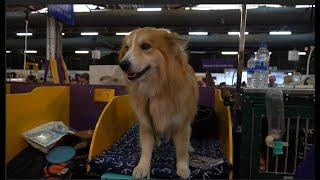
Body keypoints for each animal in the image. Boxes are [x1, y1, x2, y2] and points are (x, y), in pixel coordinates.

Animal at [117, 27, 198, 179]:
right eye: (127, 48)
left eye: (145, 46)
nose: (122, 65)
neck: (156, 91)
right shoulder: (146, 123)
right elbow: (145, 150)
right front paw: (142, 167)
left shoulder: (181, 125)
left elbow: (181, 150)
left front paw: (183, 167)